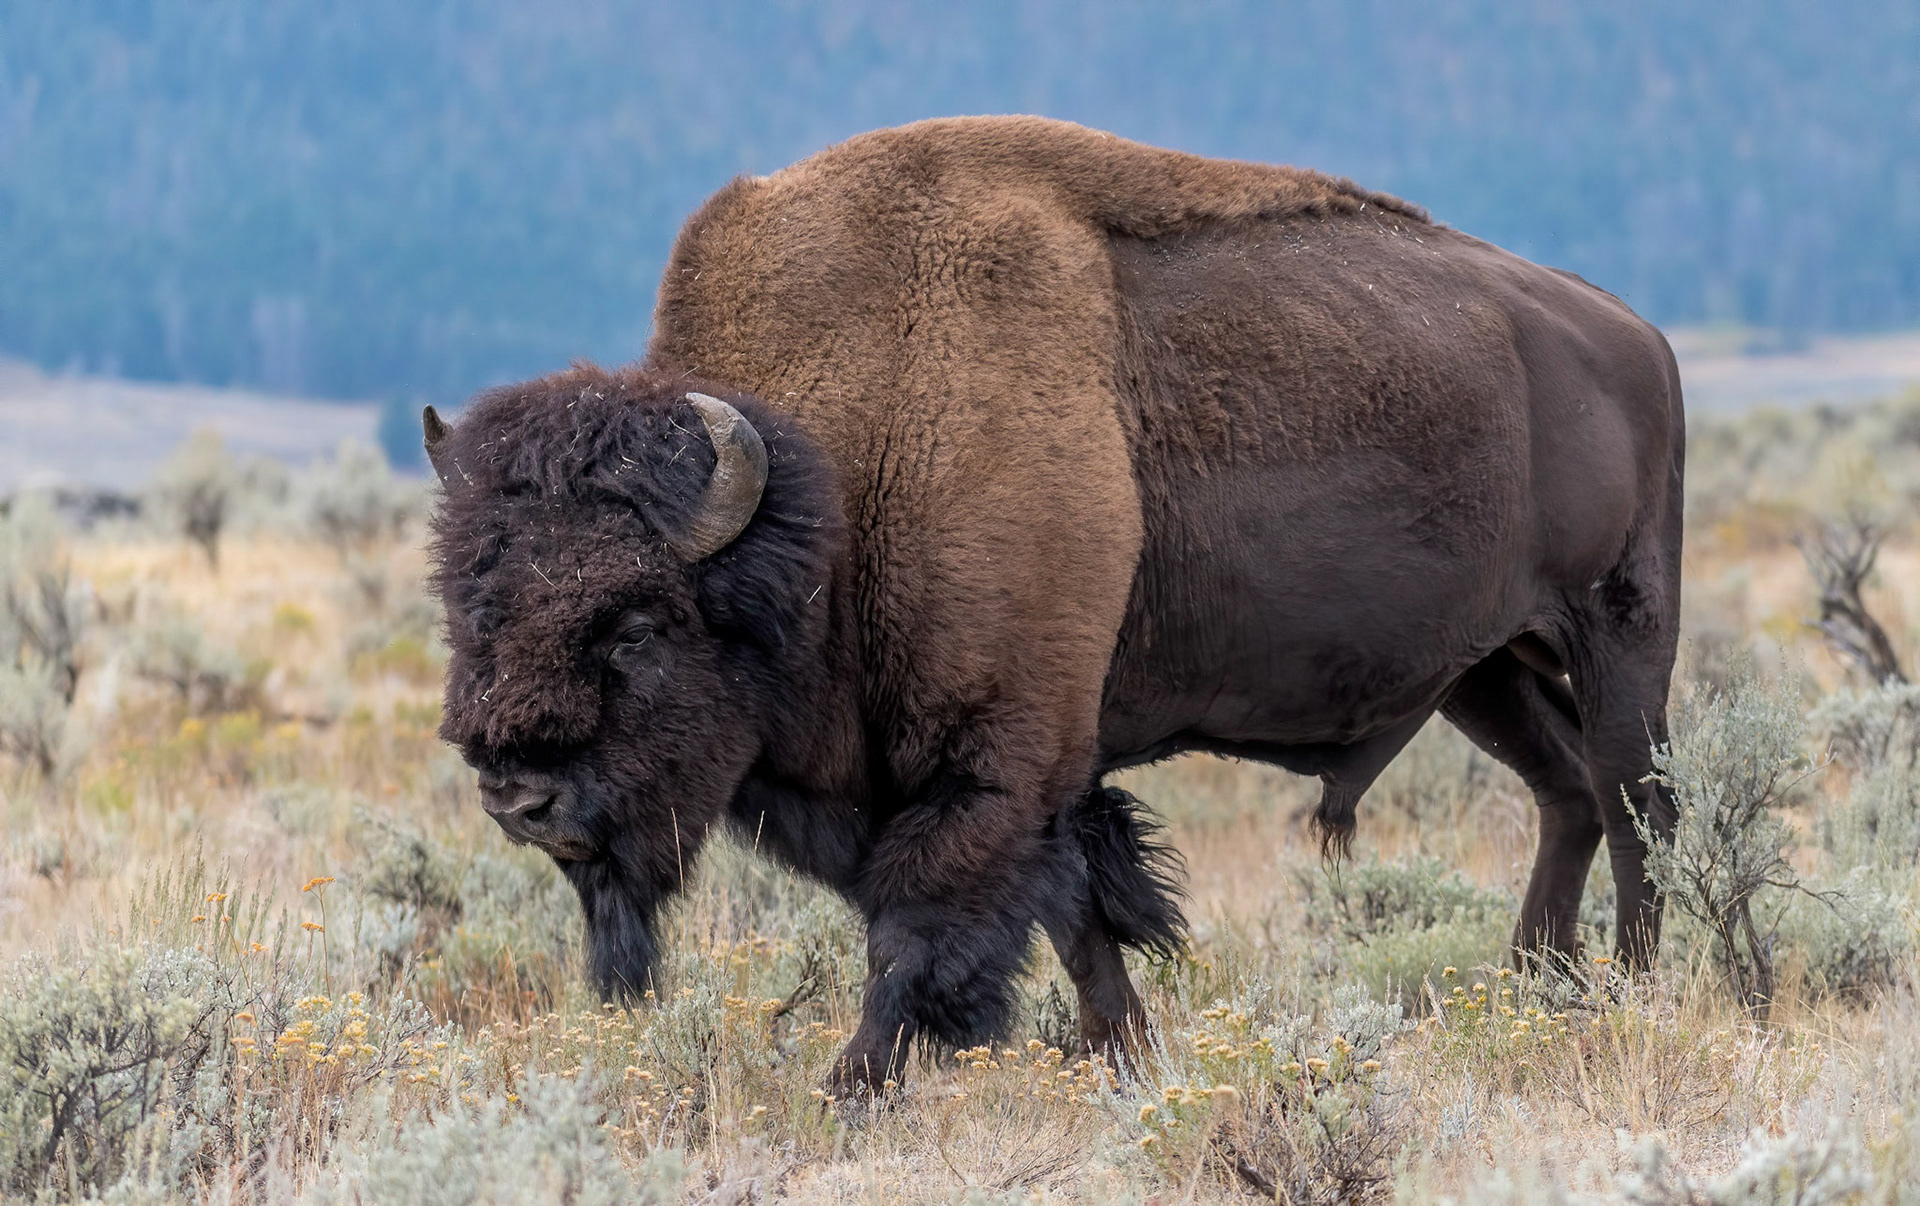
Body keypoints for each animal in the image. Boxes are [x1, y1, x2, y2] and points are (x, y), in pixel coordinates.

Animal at [424, 116, 1682, 1090]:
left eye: (639, 625)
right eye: (467, 609)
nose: (519, 796)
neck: (838, 471)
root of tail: (1636, 335)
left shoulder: (995, 761)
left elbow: (923, 931)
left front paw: (852, 1087)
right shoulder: (1030, 773)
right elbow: (1077, 919)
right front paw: (1127, 1058)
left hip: (1619, 630)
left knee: (1640, 803)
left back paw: (1642, 989)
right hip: (1487, 666)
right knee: (1569, 792)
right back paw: (1534, 985)